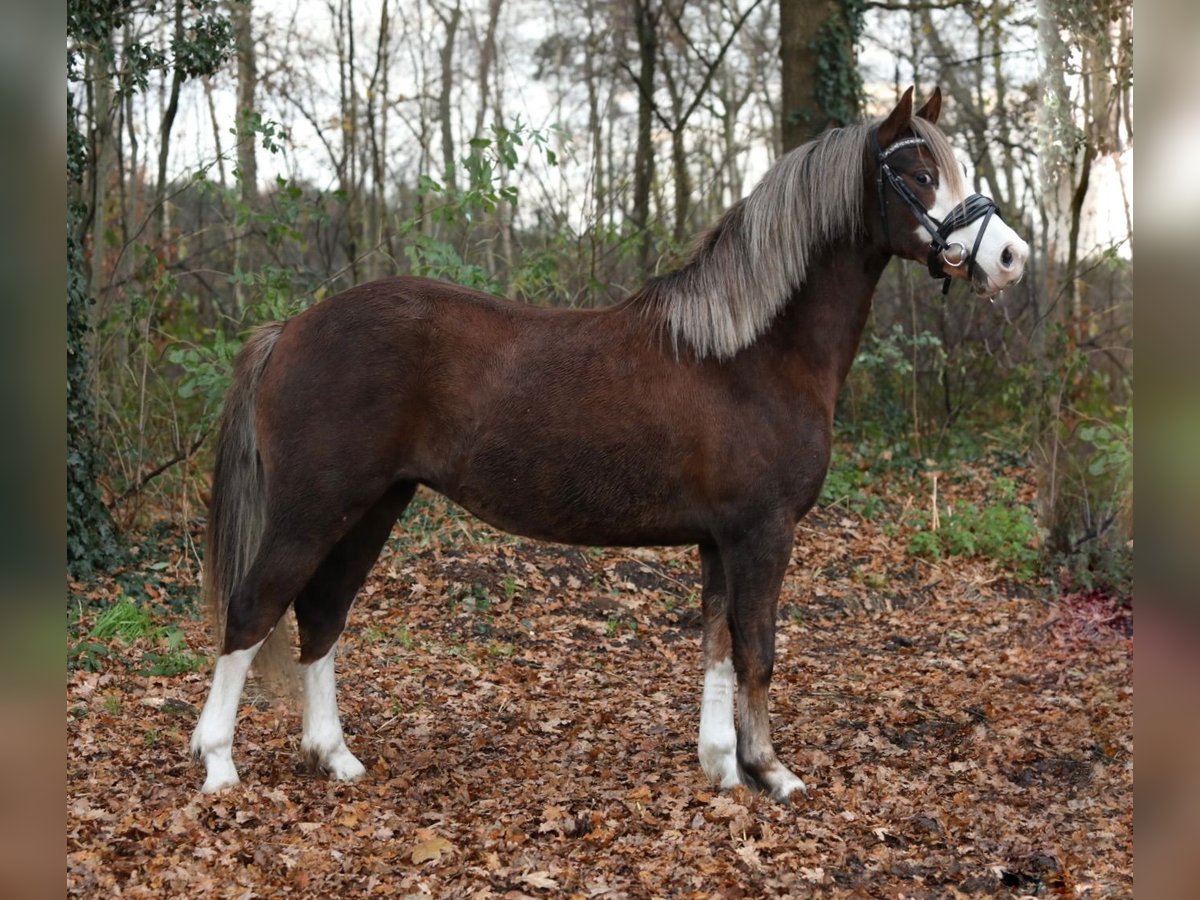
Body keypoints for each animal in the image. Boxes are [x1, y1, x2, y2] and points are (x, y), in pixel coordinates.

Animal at [192, 86, 1027, 801]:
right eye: (920, 175)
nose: (1011, 258)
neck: (753, 350)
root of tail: (291, 329)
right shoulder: (763, 533)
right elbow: (757, 650)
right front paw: (770, 770)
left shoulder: (720, 539)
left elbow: (716, 644)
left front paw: (722, 766)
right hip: (314, 509)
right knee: (253, 609)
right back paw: (219, 766)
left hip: (372, 508)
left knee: (321, 615)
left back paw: (333, 755)